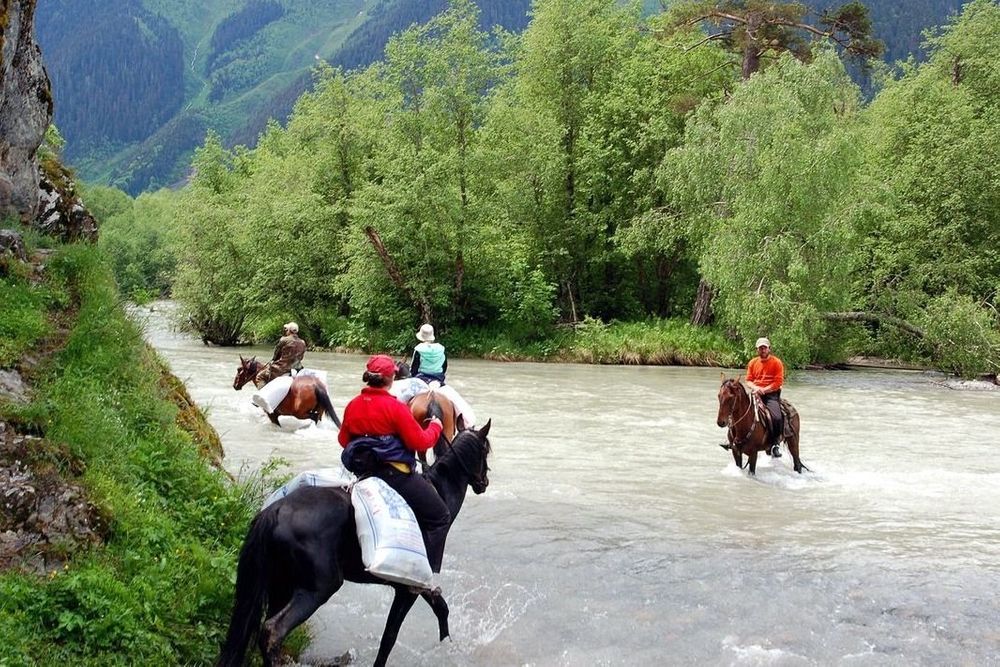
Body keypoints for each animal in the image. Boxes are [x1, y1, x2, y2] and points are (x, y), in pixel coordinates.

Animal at [216, 422, 492, 667]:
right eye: (486, 450)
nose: (484, 482)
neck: (440, 491)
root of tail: (275, 511)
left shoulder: (417, 582)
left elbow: (440, 608)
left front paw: (447, 643)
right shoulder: (409, 586)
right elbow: (390, 637)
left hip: (280, 583)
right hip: (319, 587)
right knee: (272, 631)